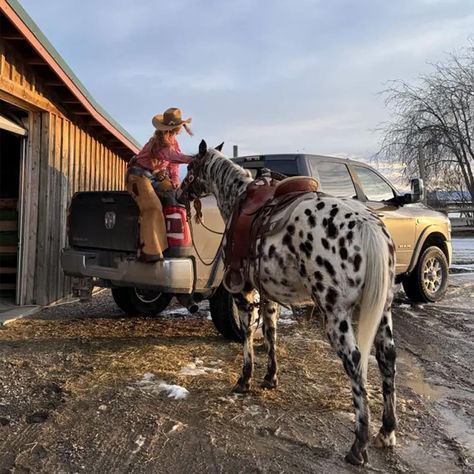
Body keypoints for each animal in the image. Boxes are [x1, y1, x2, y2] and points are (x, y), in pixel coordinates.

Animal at [176, 142, 398, 466]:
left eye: (191, 167)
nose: (178, 193)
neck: (237, 200)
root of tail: (368, 225)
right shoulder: (269, 295)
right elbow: (270, 333)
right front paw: (270, 377)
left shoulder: (243, 292)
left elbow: (247, 335)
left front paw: (244, 380)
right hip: (383, 312)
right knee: (387, 359)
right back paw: (387, 431)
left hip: (336, 315)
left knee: (356, 362)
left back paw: (359, 444)